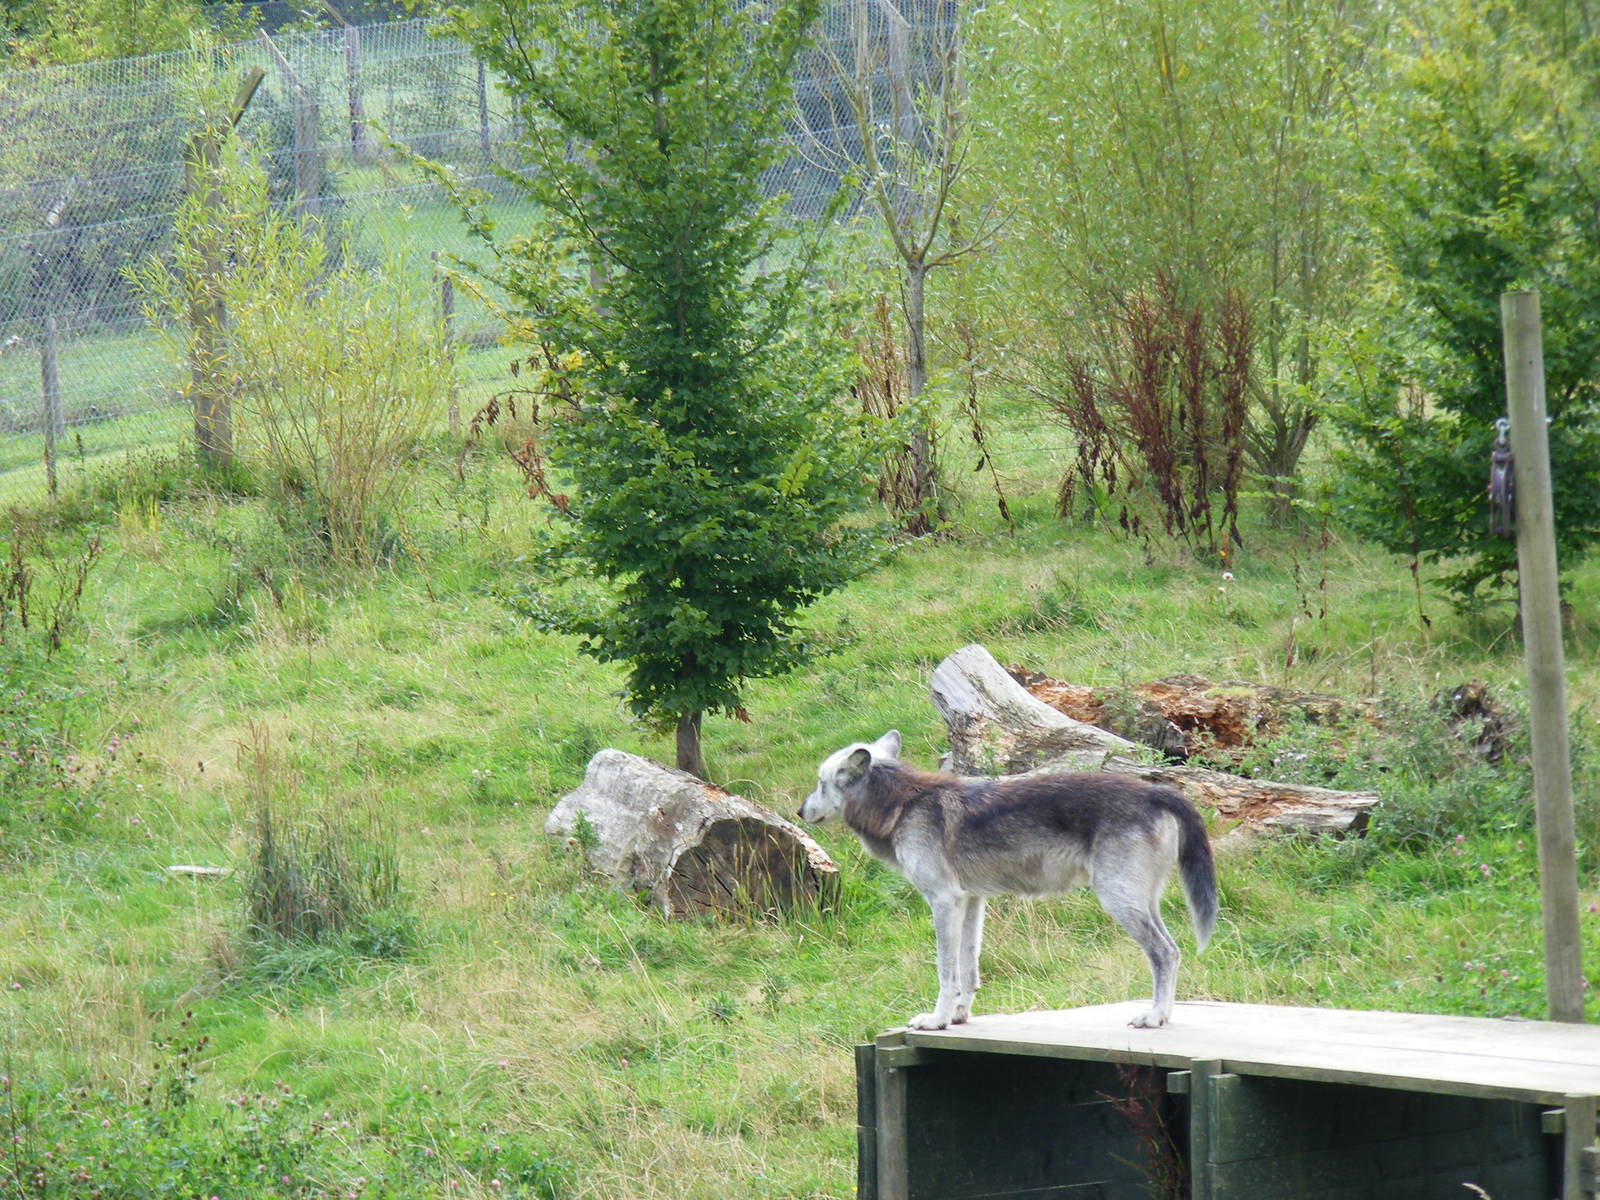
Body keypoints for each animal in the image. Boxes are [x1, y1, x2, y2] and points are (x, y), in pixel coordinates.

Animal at [798, 730, 1217, 1030]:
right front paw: (958, 1017)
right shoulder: (970, 903)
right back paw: (1164, 1014)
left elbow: (945, 969)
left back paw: (1154, 1017)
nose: (800, 811)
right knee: (1173, 950)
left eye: (819, 782)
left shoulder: (944, 902)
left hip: (1118, 900)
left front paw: (936, 1020)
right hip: (1142, 902)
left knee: (1164, 952)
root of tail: (1155, 791)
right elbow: (968, 969)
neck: (904, 805)